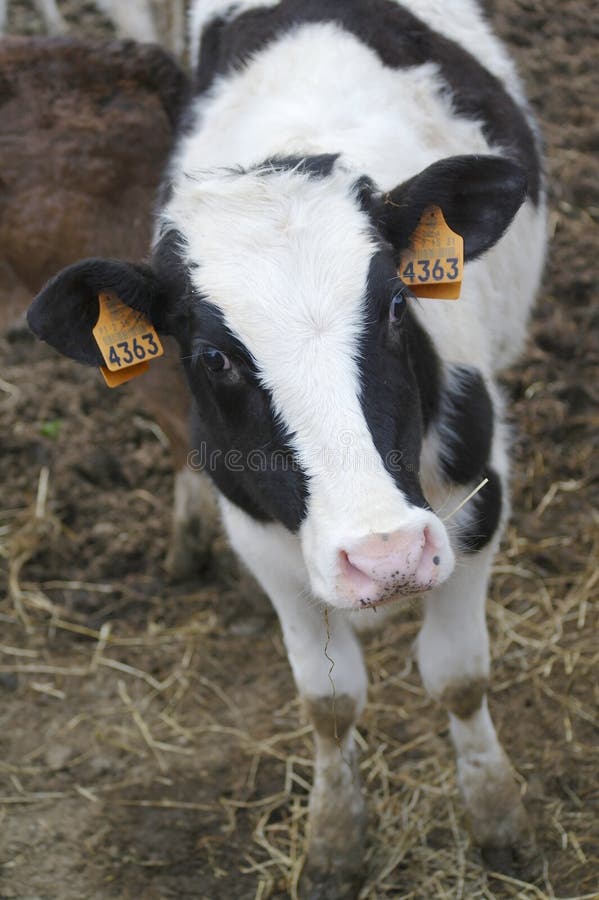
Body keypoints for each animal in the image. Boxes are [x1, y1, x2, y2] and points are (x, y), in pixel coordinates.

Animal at [27, 0, 547, 895]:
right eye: (214, 357)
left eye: (396, 307)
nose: (384, 557)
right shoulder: (262, 541)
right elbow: (328, 704)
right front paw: (334, 842)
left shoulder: (477, 501)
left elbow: (458, 677)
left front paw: (498, 816)